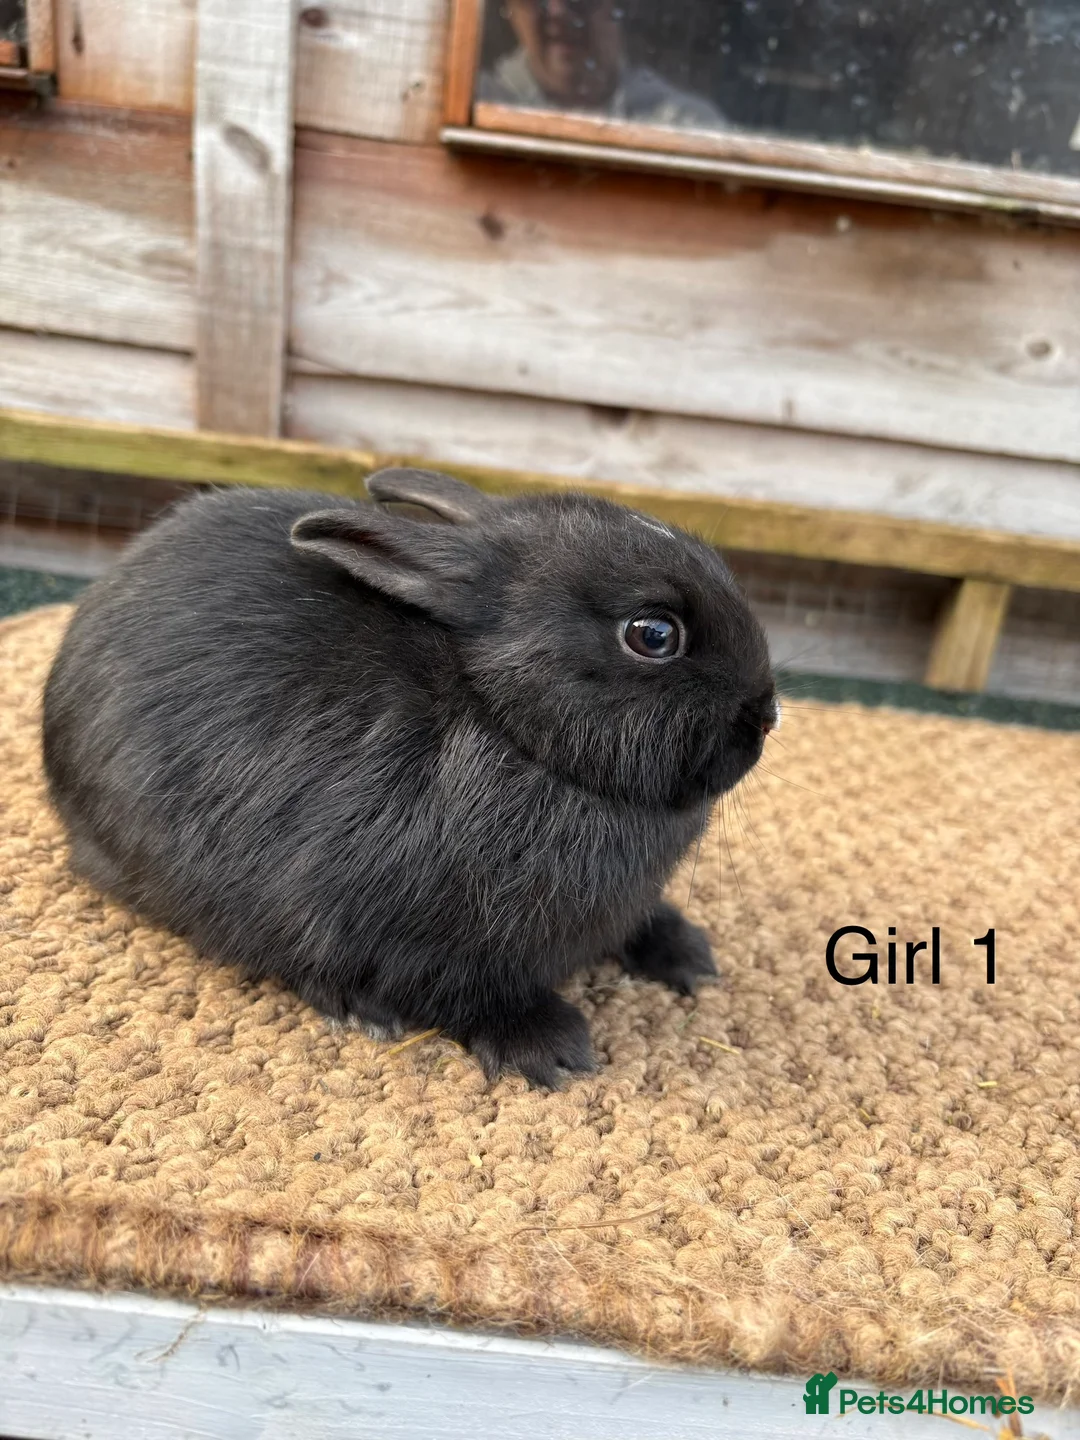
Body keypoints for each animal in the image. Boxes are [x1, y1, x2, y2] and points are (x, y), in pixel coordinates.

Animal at [42, 468, 778, 1088]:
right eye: (653, 634)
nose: (765, 716)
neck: (508, 725)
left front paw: (686, 954)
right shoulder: (395, 931)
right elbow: (455, 991)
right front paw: (550, 1047)